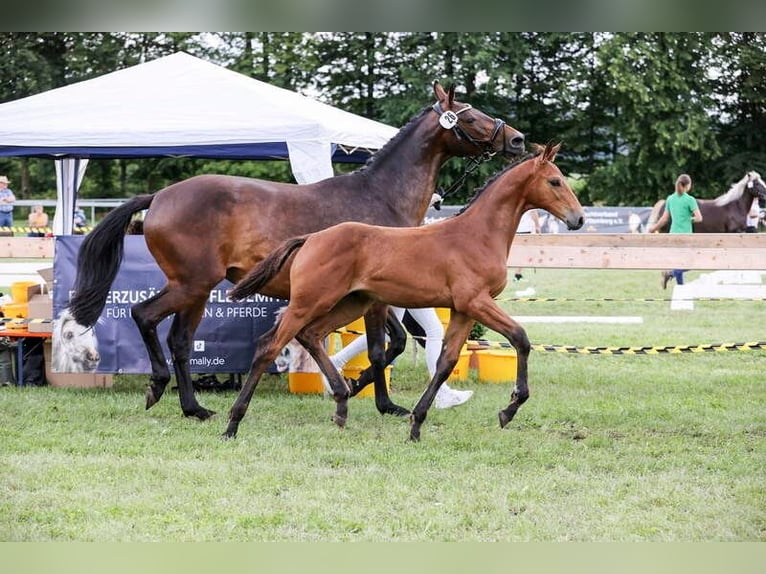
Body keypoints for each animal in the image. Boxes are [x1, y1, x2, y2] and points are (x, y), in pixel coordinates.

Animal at [69, 81, 528, 424]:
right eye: (469, 115)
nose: (517, 139)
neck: (379, 194)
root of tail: (161, 196)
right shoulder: (376, 297)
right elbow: (383, 348)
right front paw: (375, 399)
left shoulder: (372, 296)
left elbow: (392, 345)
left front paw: (357, 390)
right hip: (191, 284)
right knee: (145, 316)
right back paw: (159, 387)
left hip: (196, 291)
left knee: (180, 340)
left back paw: (194, 408)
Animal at [225, 144, 584, 440]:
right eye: (554, 181)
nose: (578, 218)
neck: (476, 235)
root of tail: (311, 238)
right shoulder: (476, 302)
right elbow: (521, 338)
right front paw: (509, 409)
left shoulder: (463, 309)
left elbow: (445, 362)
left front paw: (416, 423)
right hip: (310, 302)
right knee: (269, 346)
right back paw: (232, 424)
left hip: (349, 304)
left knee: (310, 335)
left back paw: (341, 403)